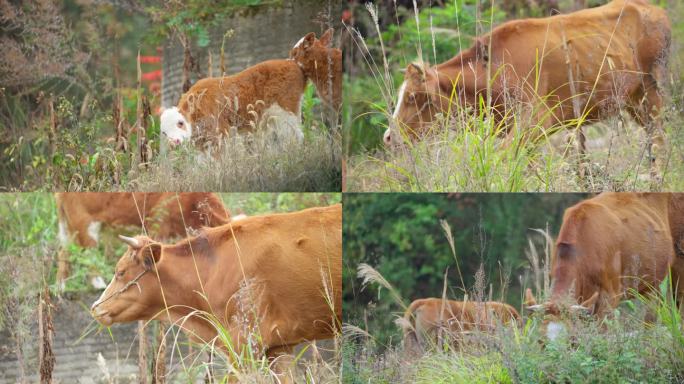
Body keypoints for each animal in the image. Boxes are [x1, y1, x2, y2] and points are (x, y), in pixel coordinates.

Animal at [388, 0, 672, 172]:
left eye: (412, 96)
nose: (389, 137)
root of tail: (650, 8)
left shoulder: (536, 120)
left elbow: (503, 159)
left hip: (652, 90)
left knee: (660, 139)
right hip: (634, 100)